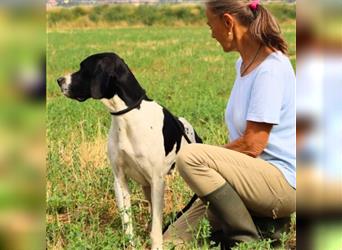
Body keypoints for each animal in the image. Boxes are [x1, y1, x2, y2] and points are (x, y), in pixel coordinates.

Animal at [55, 52, 200, 248]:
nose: (59, 80)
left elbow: (156, 228)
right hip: (147, 187)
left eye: (83, 68)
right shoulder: (120, 179)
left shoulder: (157, 181)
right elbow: (127, 223)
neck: (128, 116)